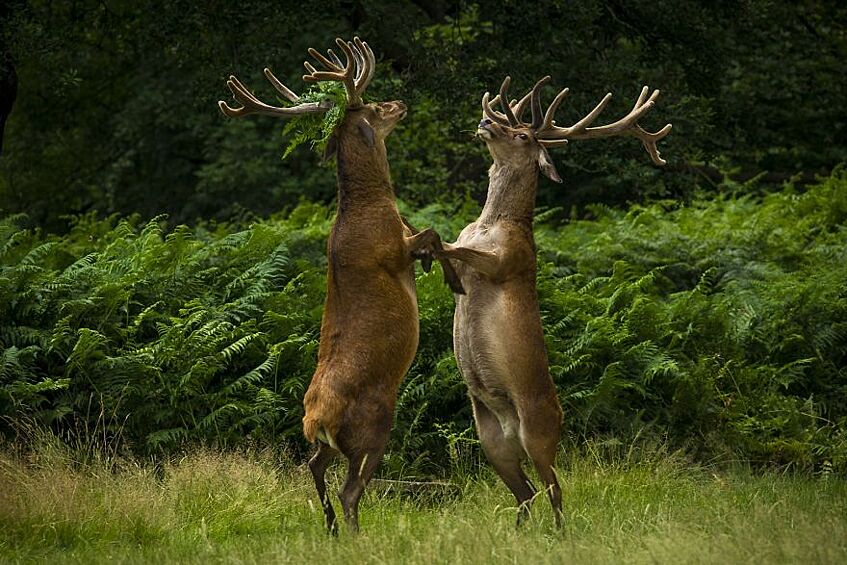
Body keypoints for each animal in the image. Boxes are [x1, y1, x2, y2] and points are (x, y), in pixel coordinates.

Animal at [215, 37, 460, 532]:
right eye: (373, 106)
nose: (400, 103)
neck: (371, 205)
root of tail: (314, 420)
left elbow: (430, 233)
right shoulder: (393, 249)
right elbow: (432, 234)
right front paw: (448, 274)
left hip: (328, 444)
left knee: (313, 466)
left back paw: (328, 527)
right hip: (373, 426)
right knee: (351, 489)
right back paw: (355, 533)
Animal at [434, 76, 672, 528]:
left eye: (523, 135)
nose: (485, 122)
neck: (491, 224)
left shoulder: (508, 261)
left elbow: (453, 246)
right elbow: (449, 248)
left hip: (539, 432)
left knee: (554, 490)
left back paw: (559, 533)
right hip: (491, 440)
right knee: (526, 492)